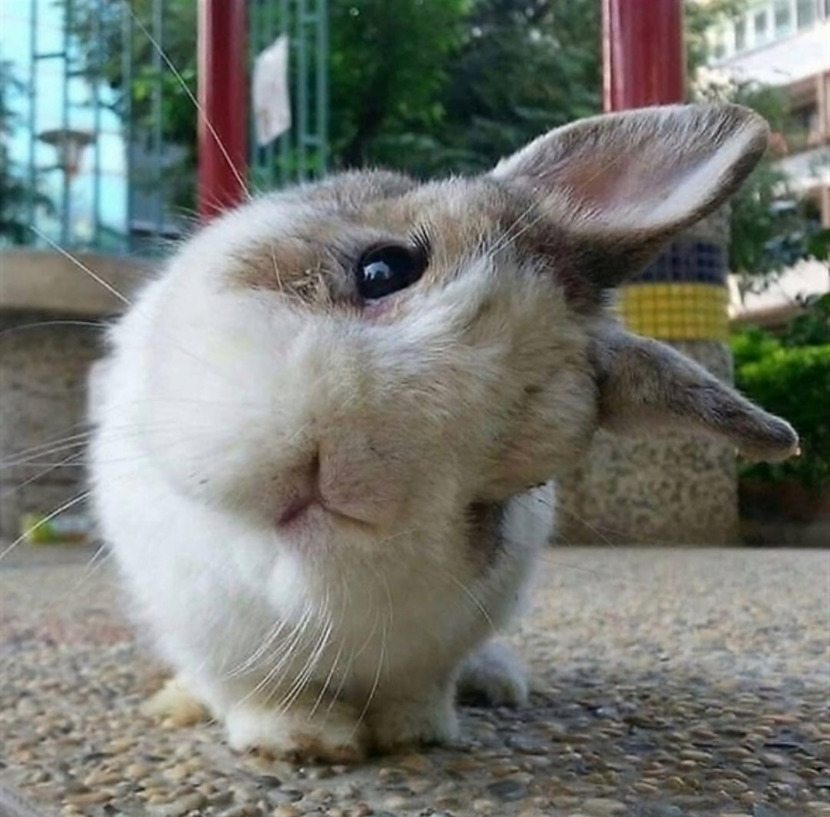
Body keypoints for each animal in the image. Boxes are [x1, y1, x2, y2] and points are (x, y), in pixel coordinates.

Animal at [89, 103, 799, 763]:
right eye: (384, 268)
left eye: (521, 475)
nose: (347, 474)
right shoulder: (203, 631)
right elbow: (249, 690)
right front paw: (302, 741)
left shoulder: (440, 643)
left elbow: (417, 691)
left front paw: (415, 734)